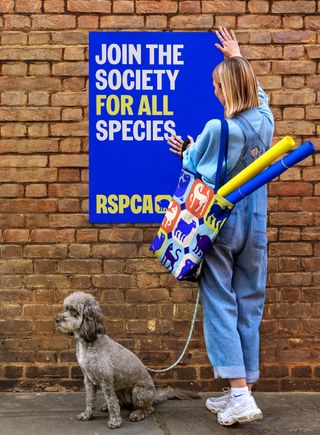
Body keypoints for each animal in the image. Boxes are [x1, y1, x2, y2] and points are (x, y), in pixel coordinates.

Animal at [55, 292, 200, 430]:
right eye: (66, 308)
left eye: (75, 311)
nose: (57, 319)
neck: (90, 342)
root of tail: (154, 397)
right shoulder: (88, 379)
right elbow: (90, 399)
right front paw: (87, 415)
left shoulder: (106, 380)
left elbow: (112, 402)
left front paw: (114, 421)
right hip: (120, 390)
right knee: (122, 403)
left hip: (138, 391)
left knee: (149, 408)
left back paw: (137, 413)